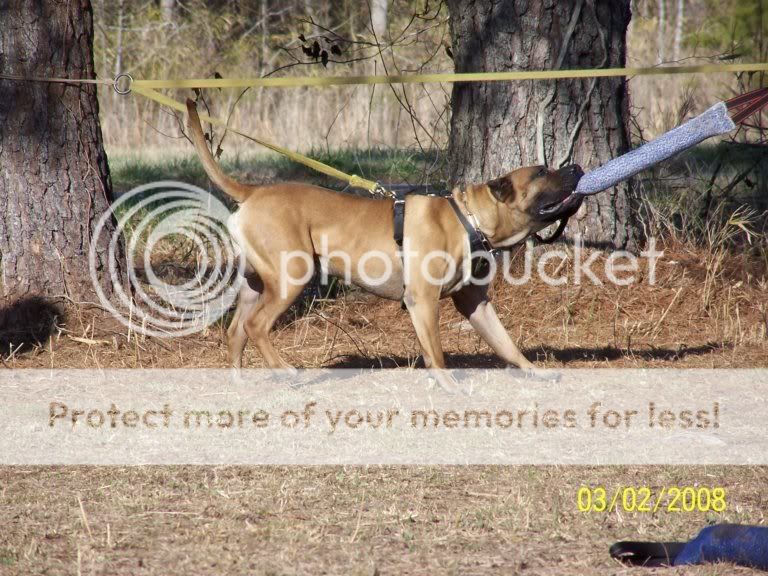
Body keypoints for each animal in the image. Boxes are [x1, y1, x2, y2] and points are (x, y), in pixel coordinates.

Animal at [184, 100, 584, 372]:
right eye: (542, 172)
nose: (578, 167)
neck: (469, 219)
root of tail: (253, 192)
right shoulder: (423, 302)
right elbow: (437, 356)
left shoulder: (477, 305)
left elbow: (508, 346)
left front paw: (536, 374)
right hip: (290, 276)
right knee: (255, 326)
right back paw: (284, 370)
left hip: (255, 283)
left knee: (236, 331)